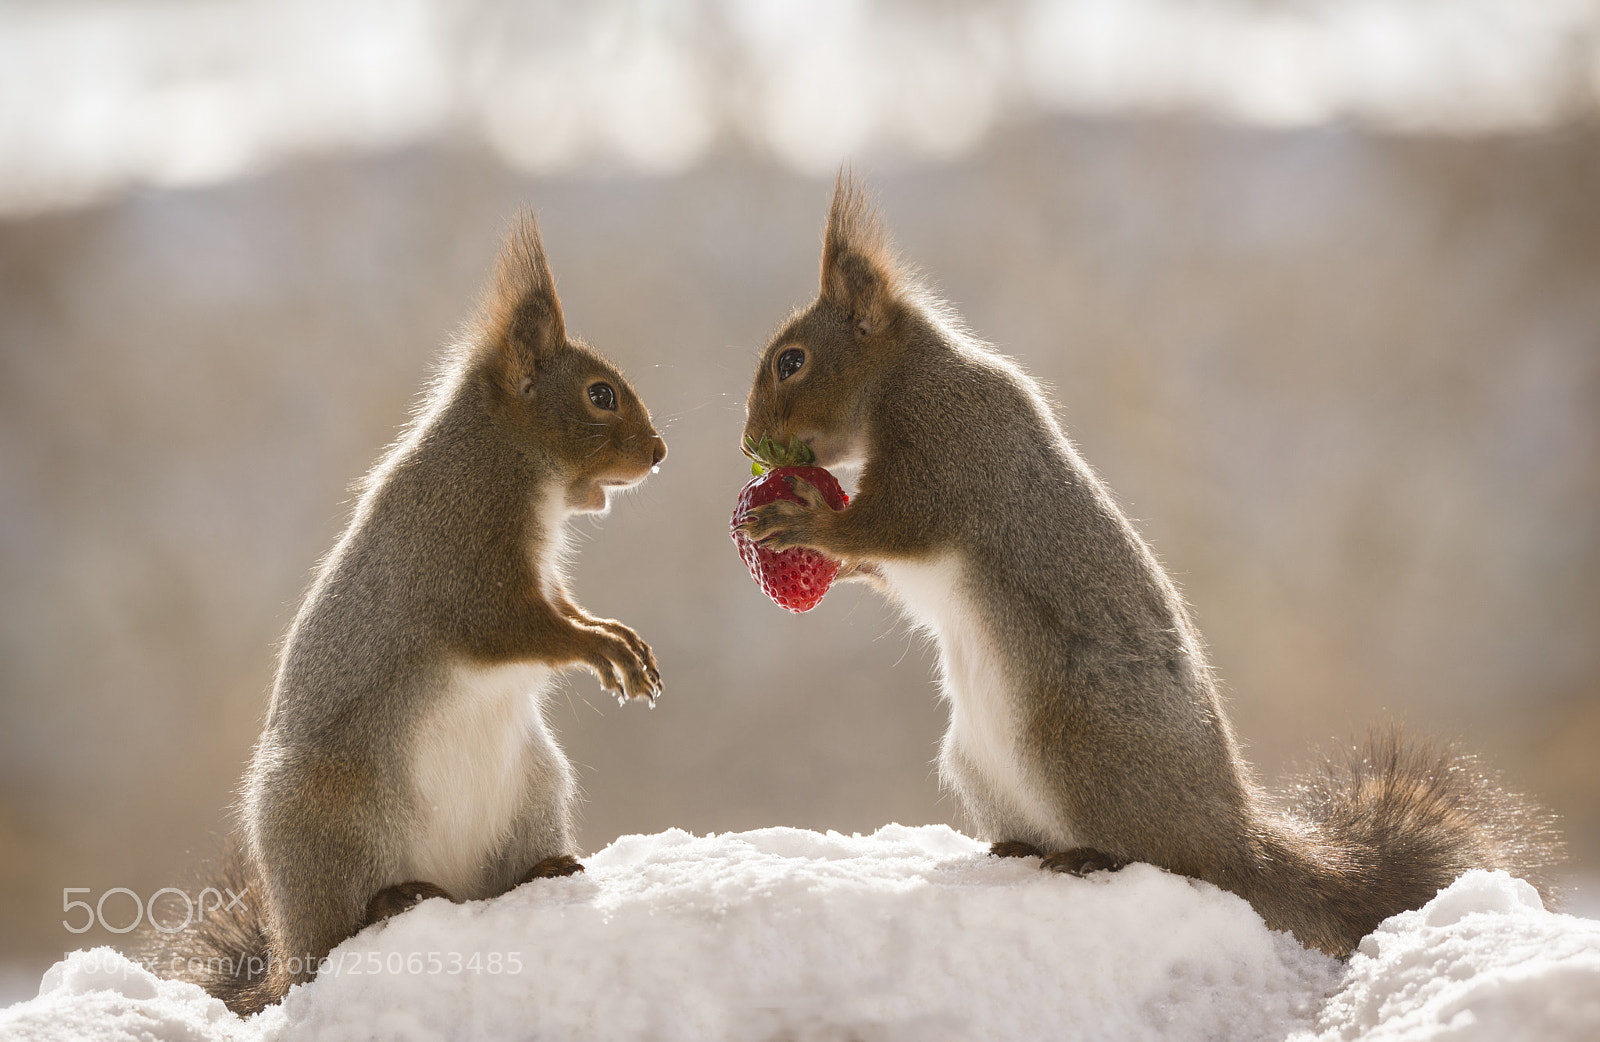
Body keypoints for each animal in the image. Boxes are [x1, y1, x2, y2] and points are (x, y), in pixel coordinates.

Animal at [149, 213, 666, 1014]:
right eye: (600, 395)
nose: (659, 451)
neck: (505, 457)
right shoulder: (461, 563)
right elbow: (518, 628)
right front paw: (602, 648)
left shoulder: (536, 578)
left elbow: (560, 610)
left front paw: (615, 635)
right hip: (330, 817)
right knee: (339, 931)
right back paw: (389, 901)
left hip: (535, 788)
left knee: (496, 879)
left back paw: (542, 870)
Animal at [735, 175, 1564, 958]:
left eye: (791, 361)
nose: (749, 438)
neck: (903, 376)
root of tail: (1232, 839)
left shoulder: (948, 449)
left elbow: (892, 524)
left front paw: (799, 518)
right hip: (978, 761)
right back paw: (1020, 846)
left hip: (1073, 741)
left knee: (1167, 861)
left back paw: (1094, 857)